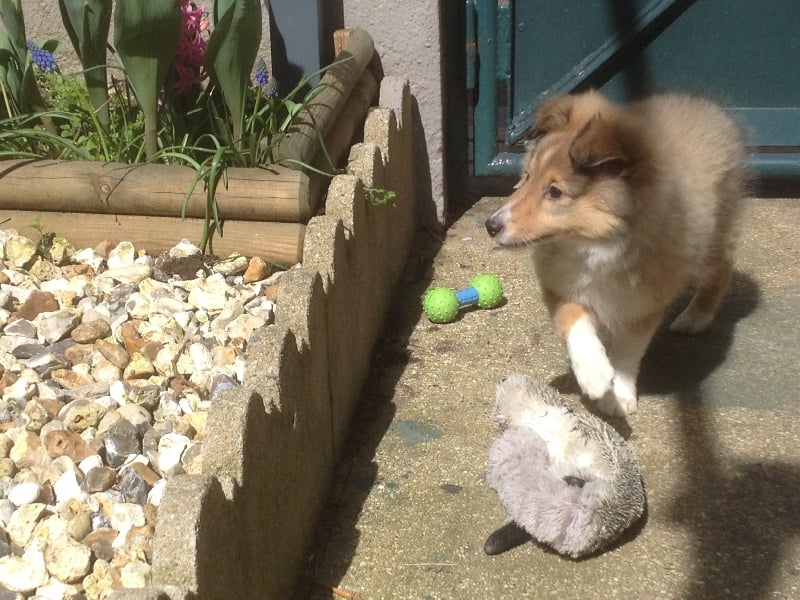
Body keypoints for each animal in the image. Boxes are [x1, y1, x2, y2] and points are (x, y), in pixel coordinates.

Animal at [484, 90, 748, 418]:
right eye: (528, 176)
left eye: (555, 192)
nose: (490, 225)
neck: (596, 246)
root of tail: (705, 106)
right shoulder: (561, 287)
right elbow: (575, 323)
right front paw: (594, 375)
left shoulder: (644, 303)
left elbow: (627, 350)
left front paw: (618, 394)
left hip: (714, 236)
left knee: (721, 269)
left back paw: (694, 318)